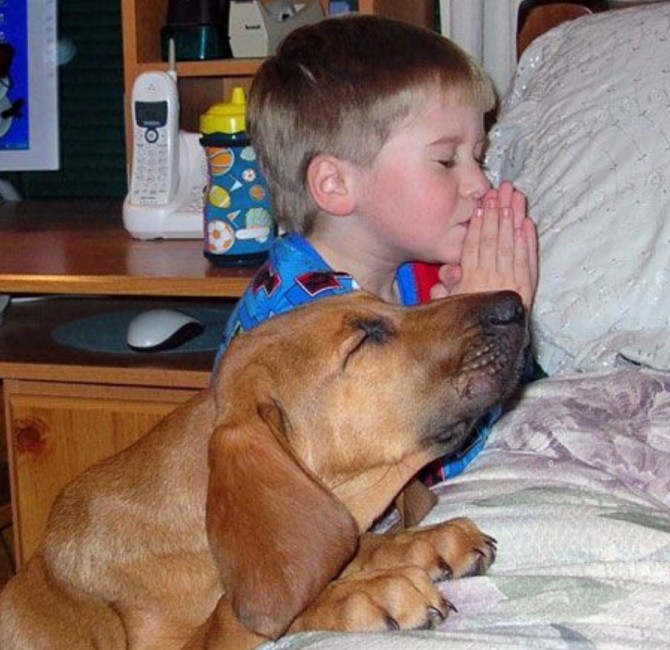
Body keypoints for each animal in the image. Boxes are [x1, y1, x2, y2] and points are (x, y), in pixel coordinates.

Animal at [0, 292, 528, 644]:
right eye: (363, 339)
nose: (515, 302)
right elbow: (241, 614)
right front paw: (367, 593)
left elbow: (346, 543)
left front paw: (426, 541)